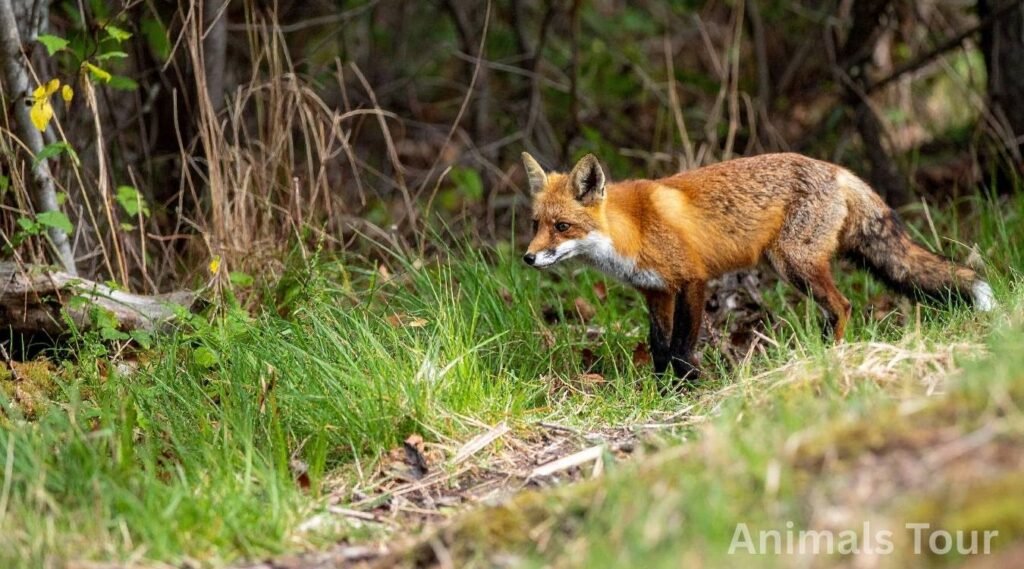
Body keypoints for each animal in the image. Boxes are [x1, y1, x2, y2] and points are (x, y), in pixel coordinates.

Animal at [521, 151, 995, 380]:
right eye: (535, 224)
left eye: (562, 226)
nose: (527, 257)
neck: (631, 229)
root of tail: (837, 169)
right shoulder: (655, 291)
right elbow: (658, 346)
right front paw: (659, 389)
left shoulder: (692, 281)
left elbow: (681, 347)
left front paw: (687, 386)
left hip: (793, 263)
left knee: (843, 306)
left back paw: (833, 356)